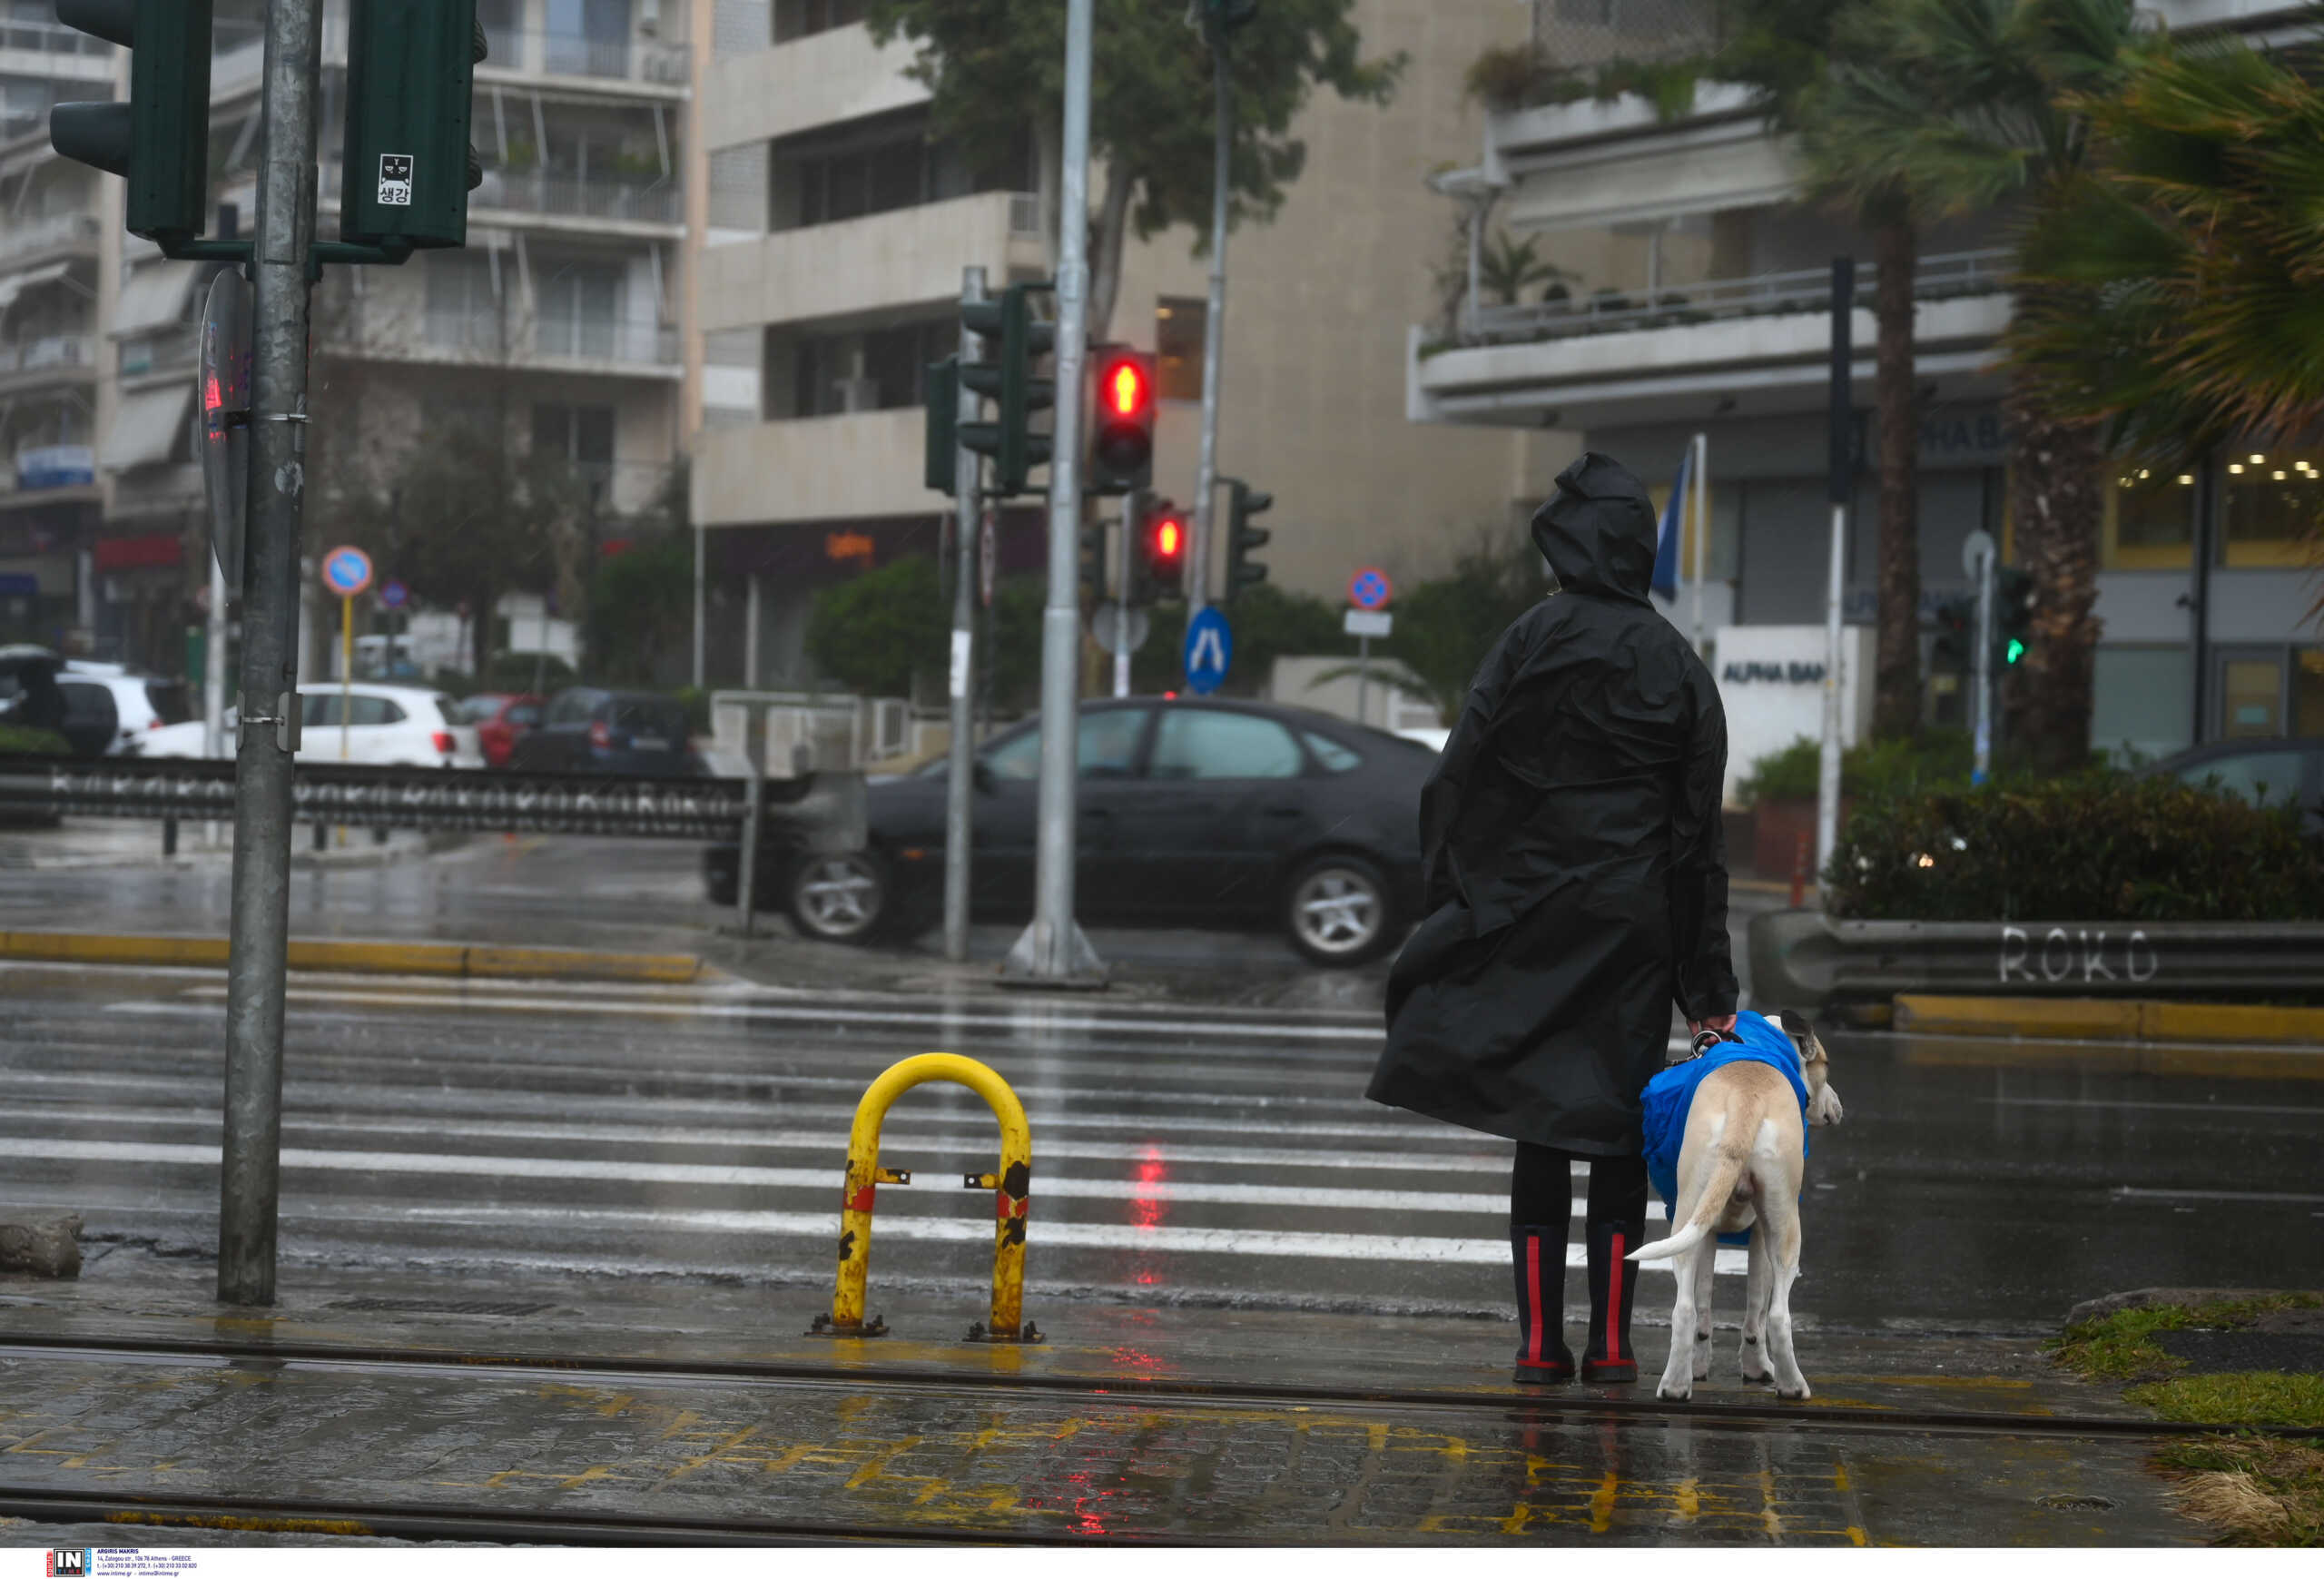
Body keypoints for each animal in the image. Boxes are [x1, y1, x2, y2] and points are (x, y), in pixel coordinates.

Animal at [1627, 1004, 1840, 1404]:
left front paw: (1702, 1366)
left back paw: (1679, 1385)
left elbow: (1710, 1304)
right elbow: (1752, 1307)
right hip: (1781, 1227)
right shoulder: (1758, 1234)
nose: (1836, 1108)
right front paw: (1754, 1368)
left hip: (1693, 1215)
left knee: (1690, 1309)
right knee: (1771, 1314)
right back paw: (1788, 1385)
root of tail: (1746, 1100)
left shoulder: (1714, 1233)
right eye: (1825, 1065)